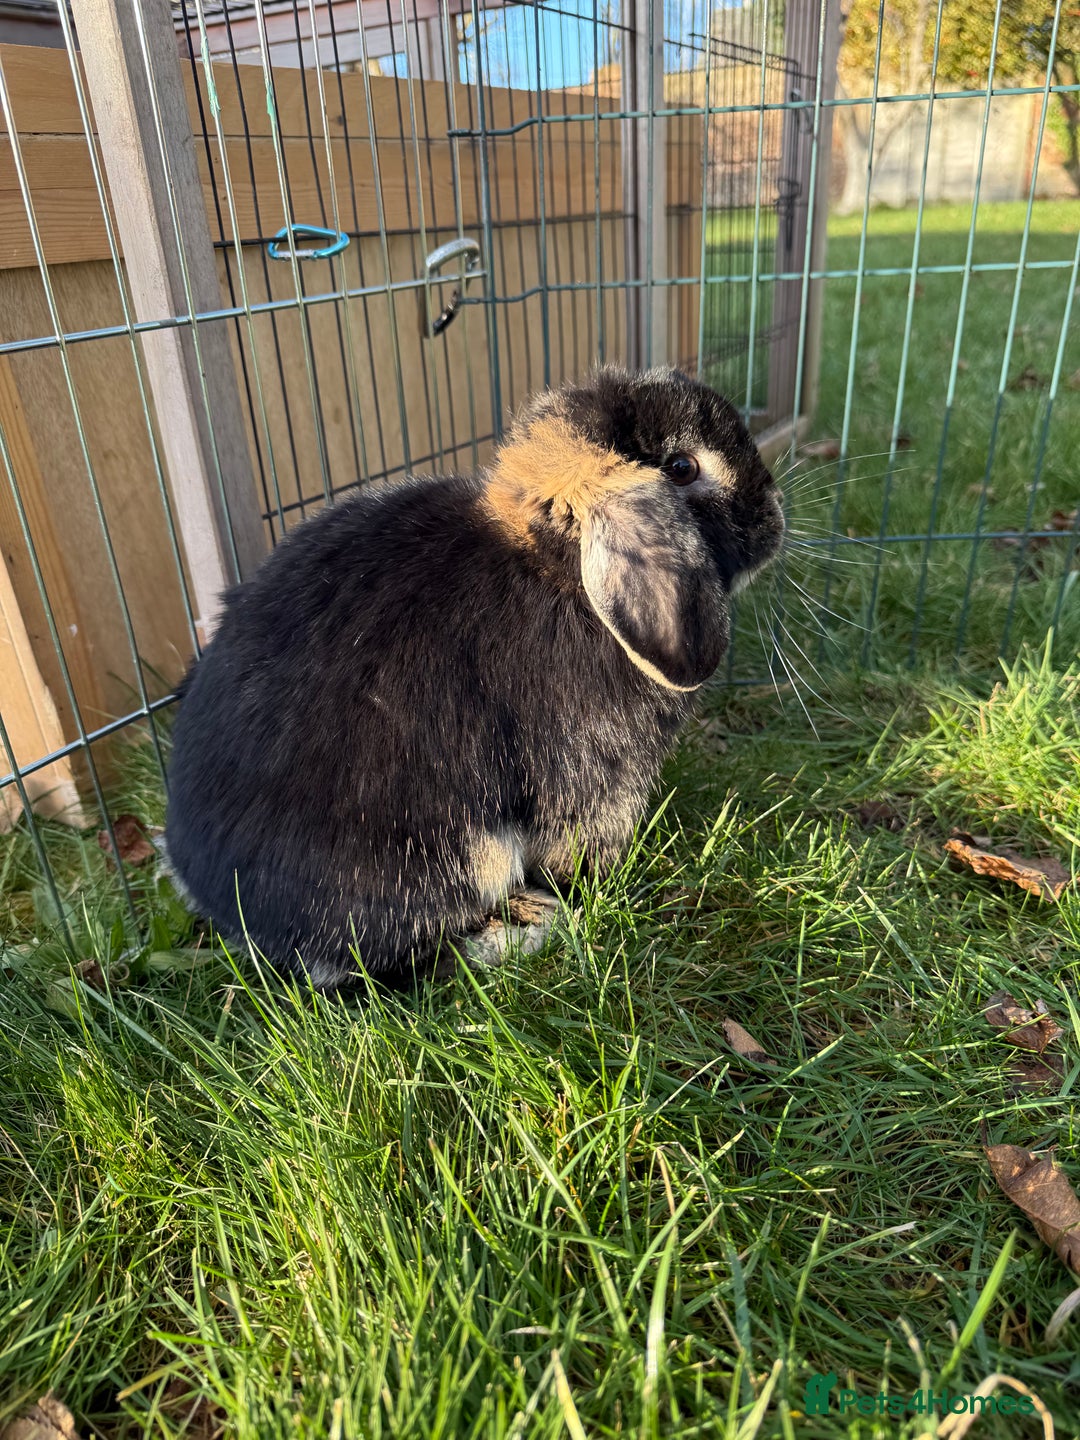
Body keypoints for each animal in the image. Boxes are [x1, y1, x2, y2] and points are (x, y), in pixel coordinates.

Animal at [164, 366, 784, 990]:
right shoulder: (592, 779)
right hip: (453, 854)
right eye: (682, 467)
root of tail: (233, 911)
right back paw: (525, 925)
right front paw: (595, 889)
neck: (556, 565)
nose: (776, 512)